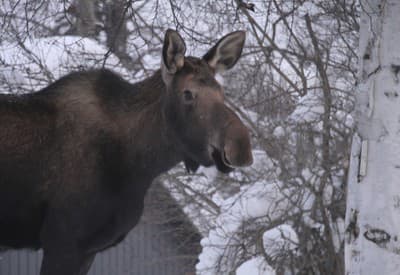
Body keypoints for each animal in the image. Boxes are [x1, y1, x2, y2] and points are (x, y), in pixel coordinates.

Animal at [0, 29, 252, 274]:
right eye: (188, 93)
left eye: (221, 91)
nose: (241, 146)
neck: (141, 166)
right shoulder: (63, 240)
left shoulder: (87, 249)